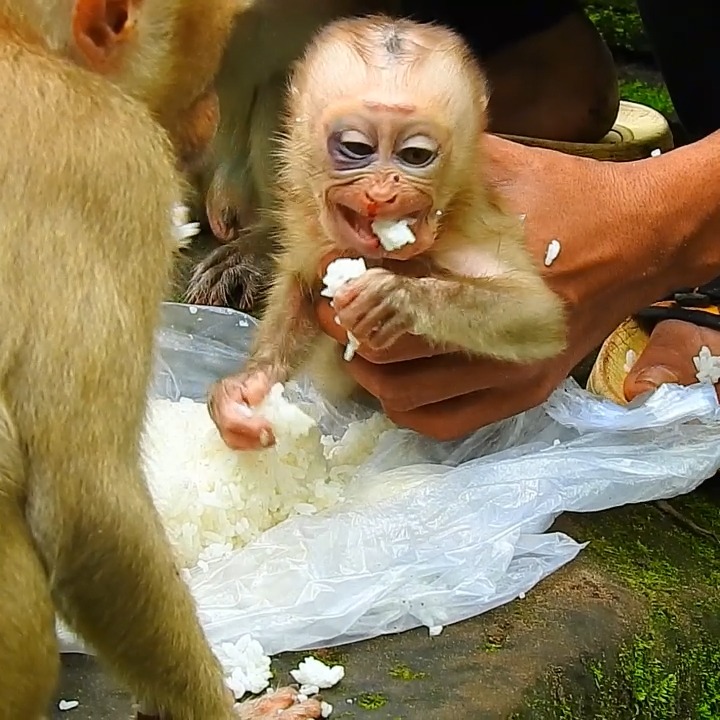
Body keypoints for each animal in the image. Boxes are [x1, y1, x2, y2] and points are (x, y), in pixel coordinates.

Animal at [205, 14, 568, 452]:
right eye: (356, 147)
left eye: (415, 155)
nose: (382, 192)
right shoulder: (308, 223)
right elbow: (301, 283)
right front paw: (247, 386)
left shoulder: (466, 223)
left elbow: (538, 312)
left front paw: (396, 297)